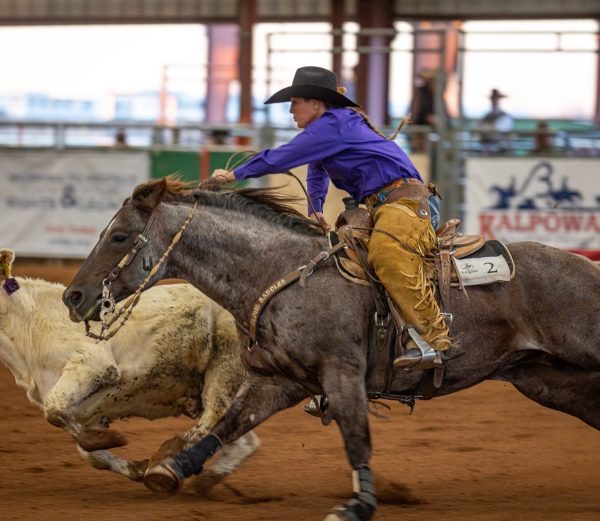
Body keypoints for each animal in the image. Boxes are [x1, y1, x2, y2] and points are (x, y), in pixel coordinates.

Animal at [0, 250, 258, 490]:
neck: (29, 327)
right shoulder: (90, 410)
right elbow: (90, 453)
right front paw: (136, 467)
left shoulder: (94, 365)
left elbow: (55, 410)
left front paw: (114, 441)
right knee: (240, 437)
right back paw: (203, 481)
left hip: (225, 363)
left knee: (214, 416)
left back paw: (165, 460)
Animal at [65, 177, 600, 516]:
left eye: (119, 236)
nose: (74, 296)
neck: (281, 272)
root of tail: (587, 267)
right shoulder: (279, 382)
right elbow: (228, 424)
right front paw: (170, 467)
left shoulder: (342, 375)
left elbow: (356, 437)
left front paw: (358, 504)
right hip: (548, 380)